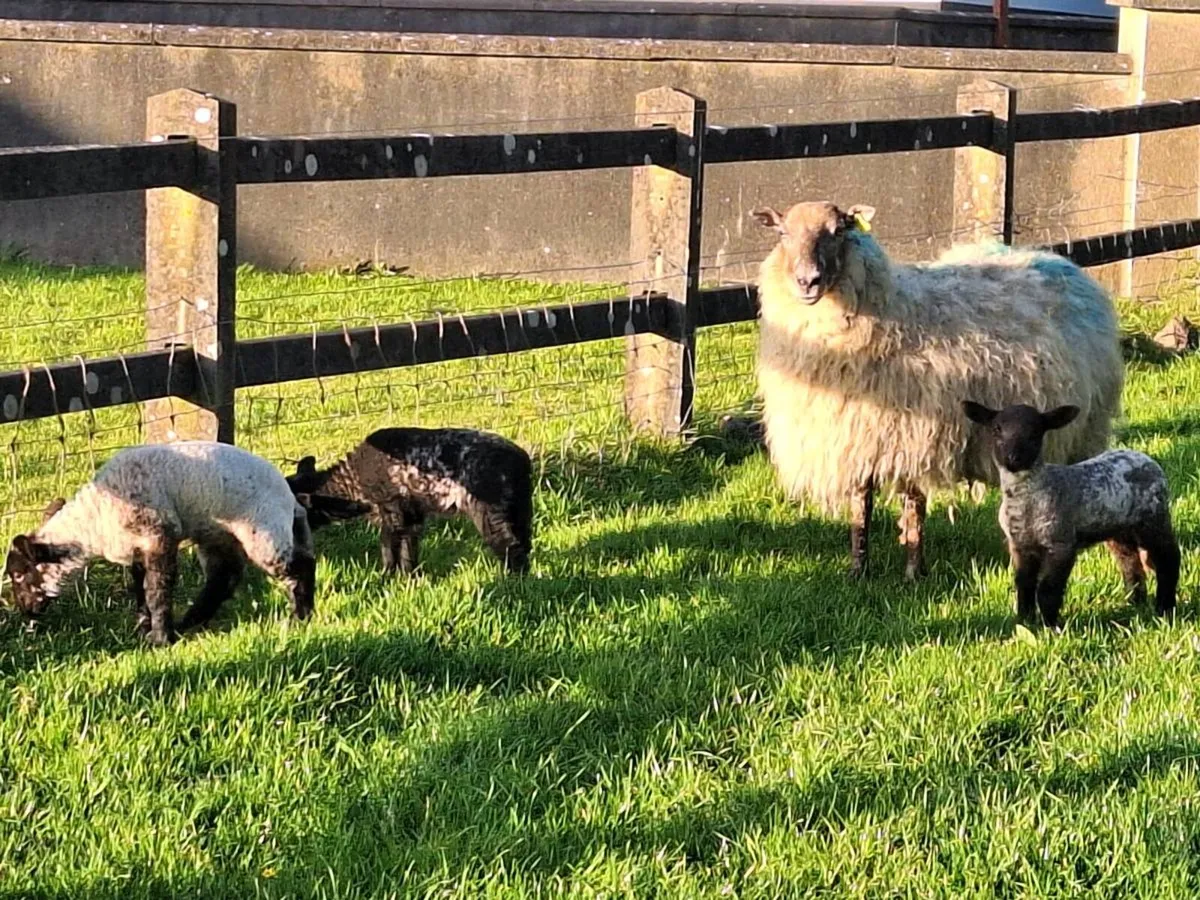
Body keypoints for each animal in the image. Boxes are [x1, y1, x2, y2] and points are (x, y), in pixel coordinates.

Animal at [3, 441, 330, 645]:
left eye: (18, 575)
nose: (25, 612)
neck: (95, 520)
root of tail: (291, 500)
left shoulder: (159, 535)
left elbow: (157, 588)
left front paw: (159, 638)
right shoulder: (136, 548)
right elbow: (139, 587)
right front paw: (143, 626)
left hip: (262, 530)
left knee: (299, 566)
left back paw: (300, 616)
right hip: (218, 534)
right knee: (223, 578)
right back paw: (190, 622)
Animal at [286, 427, 534, 575]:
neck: (353, 482)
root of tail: (521, 462)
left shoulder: (390, 508)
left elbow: (388, 546)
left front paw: (386, 577)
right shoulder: (411, 514)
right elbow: (409, 547)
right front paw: (409, 577)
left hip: (488, 508)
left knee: (509, 545)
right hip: (520, 507)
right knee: (524, 542)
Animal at [750, 200, 1124, 580]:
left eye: (839, 230)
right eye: (782, 233)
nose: (807, 281)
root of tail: (1061, 262)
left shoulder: (917, 434)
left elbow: (914, 507)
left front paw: (914, 574)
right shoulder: (859, 437)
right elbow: (860, 506)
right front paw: (858, 570)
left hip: (1085, 427)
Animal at [962, 400, 1180, 628]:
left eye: (1035, 432)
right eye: (996, 429)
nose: (1014, 458)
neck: (1026, 499)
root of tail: (1146, 459)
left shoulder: (1061, 543)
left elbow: (1048, 589)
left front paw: (1051, 625)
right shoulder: (1020, 545)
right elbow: (1024, 584)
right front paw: (1025, 621)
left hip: (1153, 517)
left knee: (1168, 558)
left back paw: (1165, 607)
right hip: (1119, 527)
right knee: (1128, 560)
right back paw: (1135, 602)